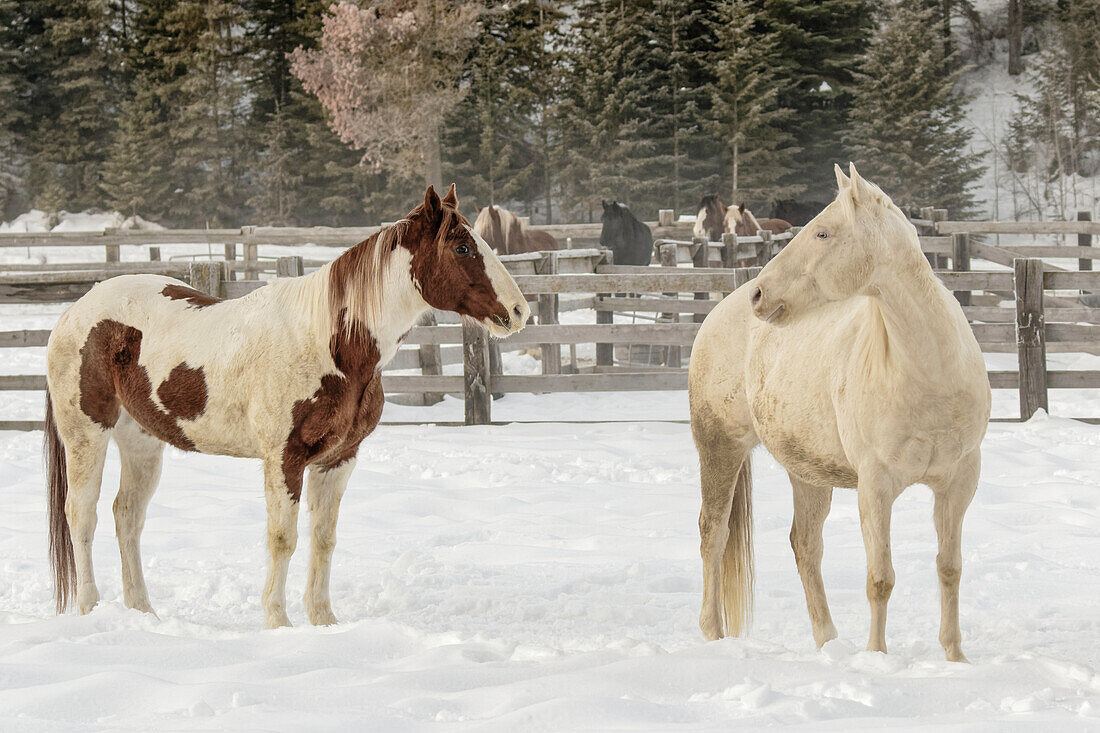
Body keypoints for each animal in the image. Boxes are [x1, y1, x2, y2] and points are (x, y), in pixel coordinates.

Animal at [47, 186, 532, 625]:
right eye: (462, 246)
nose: (519, 311)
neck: (328, 343)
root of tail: (74, 310)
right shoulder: (284, 459)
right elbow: (283, 539)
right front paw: (278, 622)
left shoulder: (338, 459)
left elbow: (323, 538)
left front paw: (323, 621)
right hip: (87, 435)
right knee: (82, 516)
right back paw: (90, 608)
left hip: (142, 442)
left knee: (127, 516)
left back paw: (143, 612)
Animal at [686, 162, 990, 660]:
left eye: (823, 232)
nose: (760, 295)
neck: (926, 372)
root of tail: (719, 312)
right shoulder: (876, 486)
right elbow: (880, 578)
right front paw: (876, 657)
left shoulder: (958, 482)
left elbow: (950, 568)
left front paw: (955, 657)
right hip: (719, 448)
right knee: (713, 534)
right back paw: (713, 635)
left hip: (807, 473)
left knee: (805, 545)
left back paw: (827, 641)